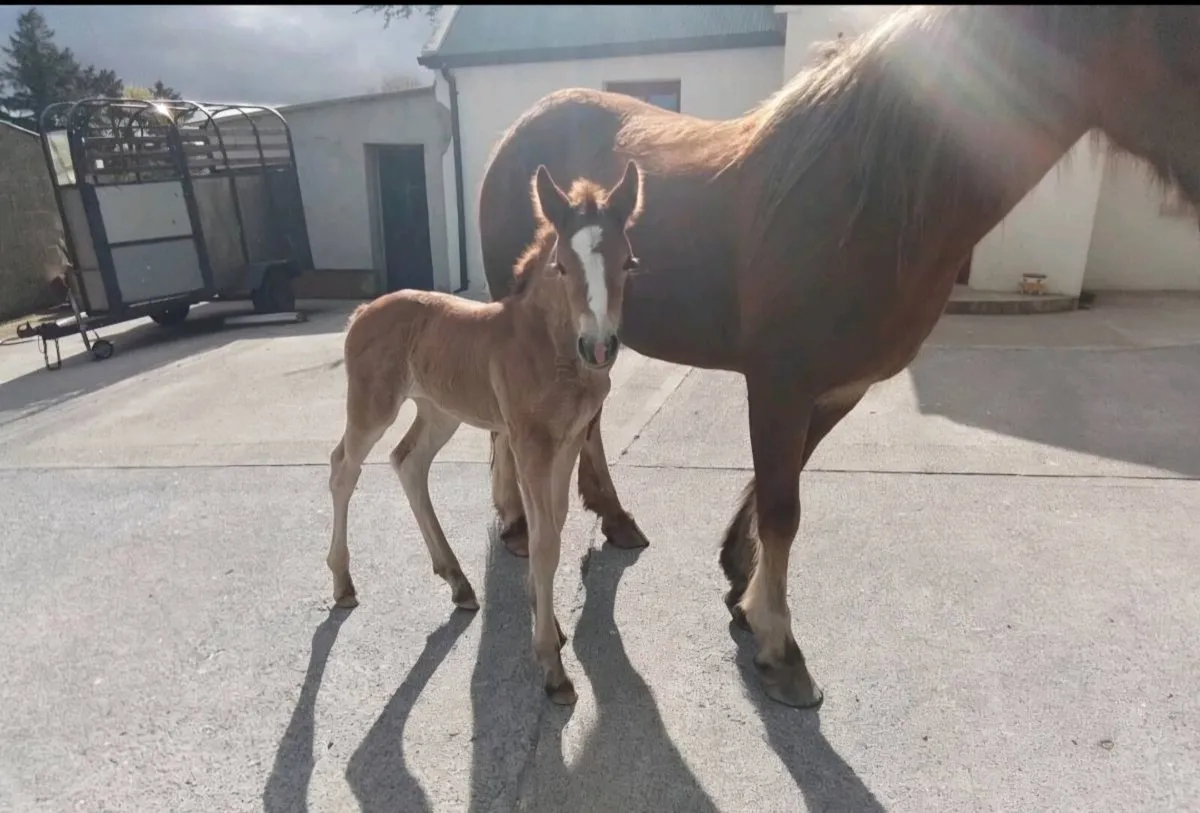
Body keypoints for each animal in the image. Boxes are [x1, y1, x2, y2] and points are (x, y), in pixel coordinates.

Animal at [326, 160, 646, 704]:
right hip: (373, 404)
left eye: (627, 264)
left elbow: (555, 524)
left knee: (408, 461)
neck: (551, 349)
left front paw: (547, 622)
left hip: (440, 410)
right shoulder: (530, 442)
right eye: (562, 266)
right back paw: (344, 583)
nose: (599, 347)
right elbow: (544, 541)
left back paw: (458, 582)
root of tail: (361, 312)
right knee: (343, 467)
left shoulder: (566, 442)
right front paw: (551, 664)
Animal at [476, 5, 1200, 708]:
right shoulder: (778, 384)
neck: (865, 200)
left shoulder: (836, 388)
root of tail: (517, 133)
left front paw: (740, 581)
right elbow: (783, 507)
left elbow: (781, 487)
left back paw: (616, 518)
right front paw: (780, 648)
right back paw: (518, 524)